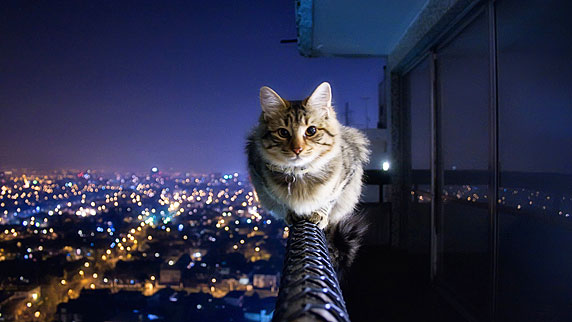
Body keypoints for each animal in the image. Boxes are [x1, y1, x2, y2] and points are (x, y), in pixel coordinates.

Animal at [246, 82, 370, 276]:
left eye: (311, 131)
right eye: (283, 132)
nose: (297, 149)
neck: (299, 173)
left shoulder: (347, 175)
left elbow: (329, 199)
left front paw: (319, 214)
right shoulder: (261, 180)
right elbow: (283, 202)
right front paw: (292, 213)